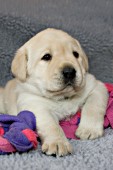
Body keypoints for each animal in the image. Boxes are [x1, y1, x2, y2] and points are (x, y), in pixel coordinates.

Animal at [0, 28, 108, 156]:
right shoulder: (34, 105)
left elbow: (93, 106)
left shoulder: (96, 87)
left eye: (76, 54)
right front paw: (57, 143)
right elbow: (51, 125)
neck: (63, 97)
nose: (69, 72)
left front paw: (89, 129)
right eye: (46, 57)